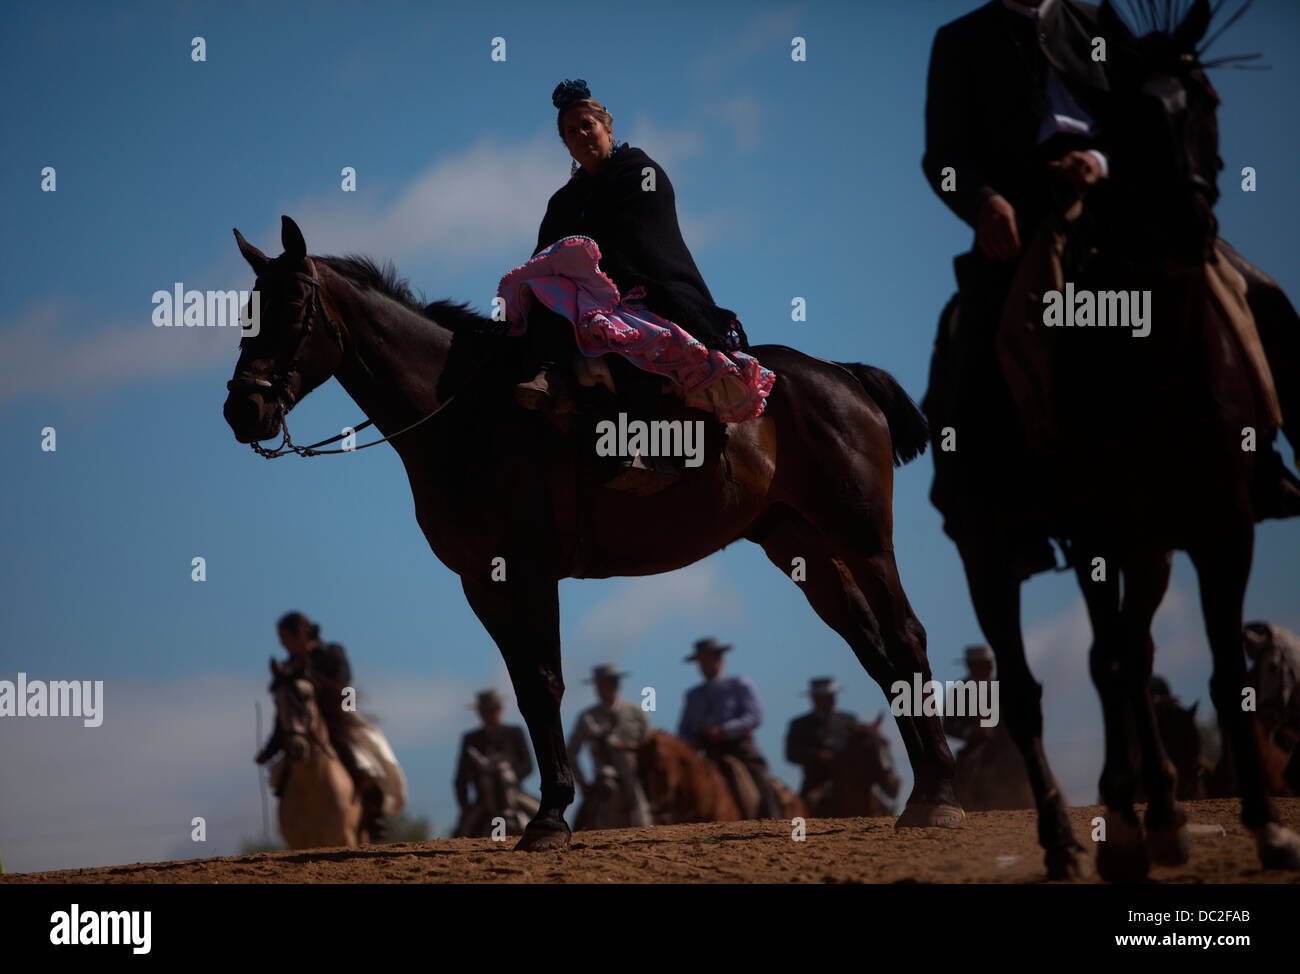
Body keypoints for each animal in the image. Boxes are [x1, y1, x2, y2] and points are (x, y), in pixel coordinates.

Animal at [925, 0, 1300, 879]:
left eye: (1205, 102)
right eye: (1130, 116)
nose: (1187, 226)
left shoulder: (1221, 524)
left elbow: (1211, 664)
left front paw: (1258, 824)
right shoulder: (1099, 529)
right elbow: (1112, 664)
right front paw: (1131, 825)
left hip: (1148, 543)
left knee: (1124, 654)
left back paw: (1147, 809)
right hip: (991, 549)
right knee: (1030, 688)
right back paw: (1067, 835)